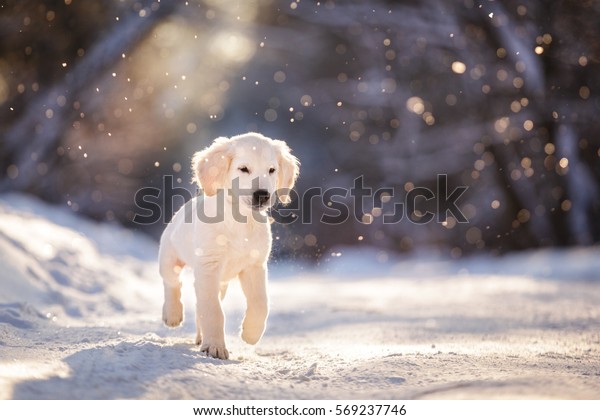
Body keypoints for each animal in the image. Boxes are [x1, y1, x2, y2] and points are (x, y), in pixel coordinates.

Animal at [159, 133, 300, 360]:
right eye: (243, 169)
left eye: (271, 170)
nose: (262, 195)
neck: (240, 219)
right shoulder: (208, 267)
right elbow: (214, 311)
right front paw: (215, 347)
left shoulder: (254, 266)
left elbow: (261, 303)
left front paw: (251, 333)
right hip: (169, 257)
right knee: (172, 282)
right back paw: (172, 314)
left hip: (221, 283)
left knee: (198, 304)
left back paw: (200, 337)